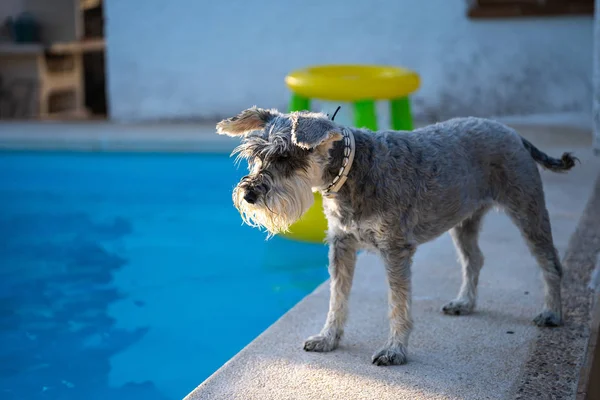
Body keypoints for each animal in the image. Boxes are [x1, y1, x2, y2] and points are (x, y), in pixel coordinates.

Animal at [216, 106, 576, 366]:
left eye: (285, 156)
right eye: (254, 155)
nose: (249, 194)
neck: (352, 172)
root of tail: (514, 134)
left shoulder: (395, 250)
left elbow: (398, 304)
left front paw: (394, 351)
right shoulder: (342, 245)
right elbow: (337, 297)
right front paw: (328, 338)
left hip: (527, 211)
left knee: (550, 263)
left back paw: (552, 313)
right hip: (465, 221)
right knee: (474, 259)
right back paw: (464, 302)